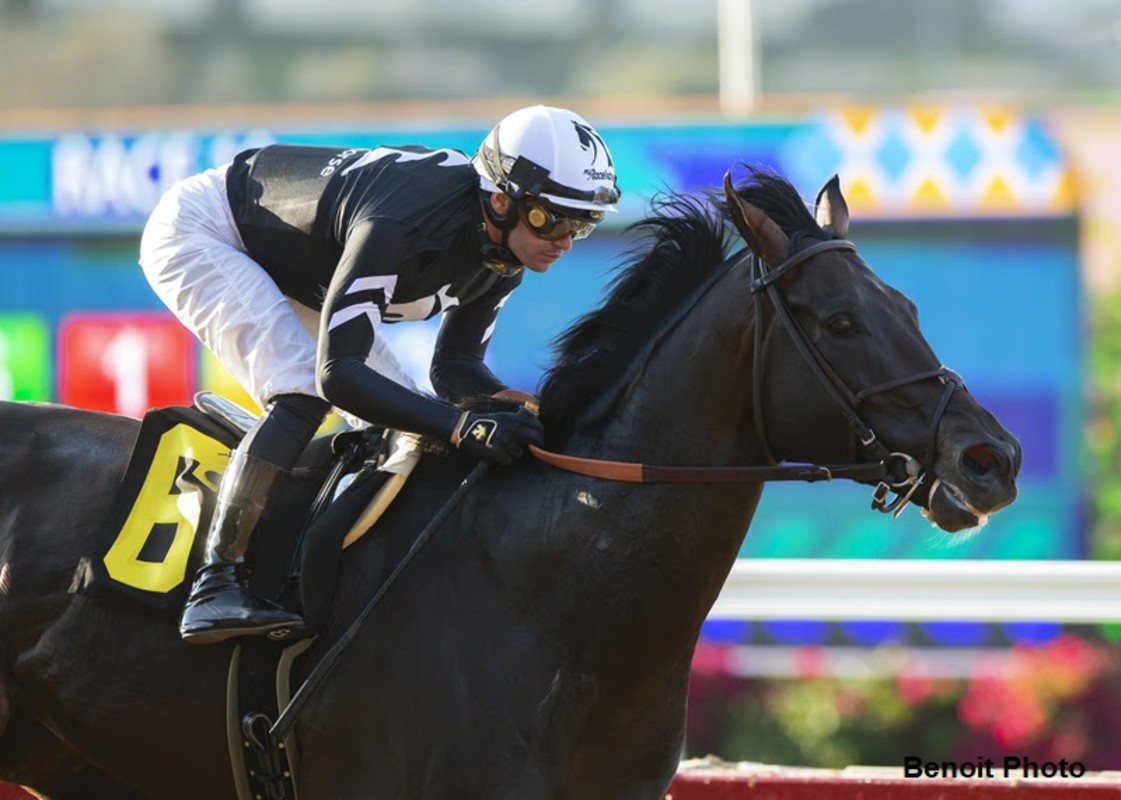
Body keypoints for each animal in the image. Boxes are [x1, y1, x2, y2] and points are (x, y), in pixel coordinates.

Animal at [0, 168, 1020, 799]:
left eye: (906, 306)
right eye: (840, 320)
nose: (991, 459)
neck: (552, 592)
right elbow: (334, 367)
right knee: (298, 389)